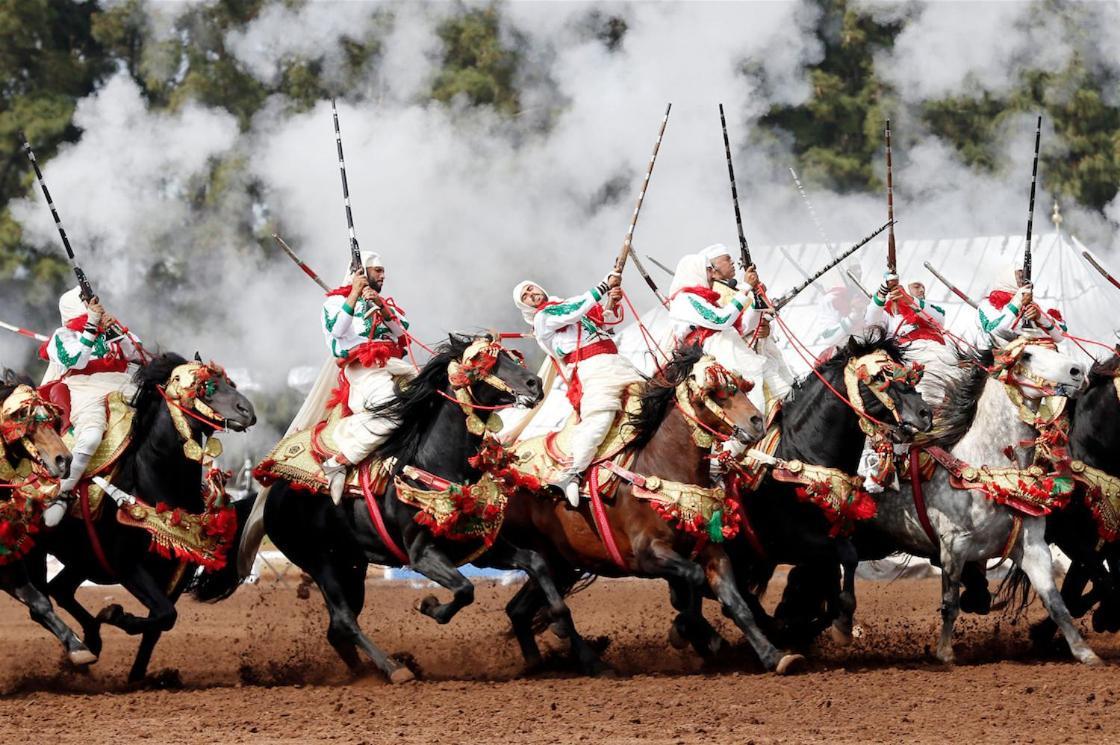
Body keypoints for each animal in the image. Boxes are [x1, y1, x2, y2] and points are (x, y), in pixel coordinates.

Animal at [0, 378, 95, 663]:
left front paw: (77, 647)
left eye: (52, 419)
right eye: (23, 414)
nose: (65, 459)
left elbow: (39, 602)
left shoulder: (8, 557)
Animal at [27, 351, 256, 681]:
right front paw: (116, 614)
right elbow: (163, 614)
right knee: (41, 600)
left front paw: (137, 676)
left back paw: (91, 641)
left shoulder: (176, 572)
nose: (247, 410)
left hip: (81, 562)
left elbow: (162, 622)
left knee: (59, 590)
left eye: (231, 382)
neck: (154, 481)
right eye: (206, 387)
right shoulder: (127, 567)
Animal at [257, 333, 546, 681]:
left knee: (337, 629)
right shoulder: (423, 555)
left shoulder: (480, 546)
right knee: (344, 620)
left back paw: (364, 671)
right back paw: (394, 669)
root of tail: (272, 494)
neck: (433, 463)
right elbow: (465, 589)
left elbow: (535, 561)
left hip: (351, 566)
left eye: (510, 355)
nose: (534, 383)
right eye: (482, 361)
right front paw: (429, 606)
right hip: (321, 564)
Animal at [495, 342, 819, 672]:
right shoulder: (647, 555)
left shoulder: (712, 551)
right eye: (715, 391)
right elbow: (692, 581)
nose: (756, 421)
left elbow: (736, 602)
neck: (664, 470)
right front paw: (692, 632)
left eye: (740, 385)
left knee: (520, 608)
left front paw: (775, 655)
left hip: (560, 562)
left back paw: (544, 660)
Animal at [846, 336, 1093, 663]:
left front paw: (1084, 652)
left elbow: (1056, 603)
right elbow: (949, 604)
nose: (1078, 371)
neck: (987, 469)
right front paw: (945, 654)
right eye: (1026, 355)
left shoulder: (1034, 549)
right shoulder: (954, 546)